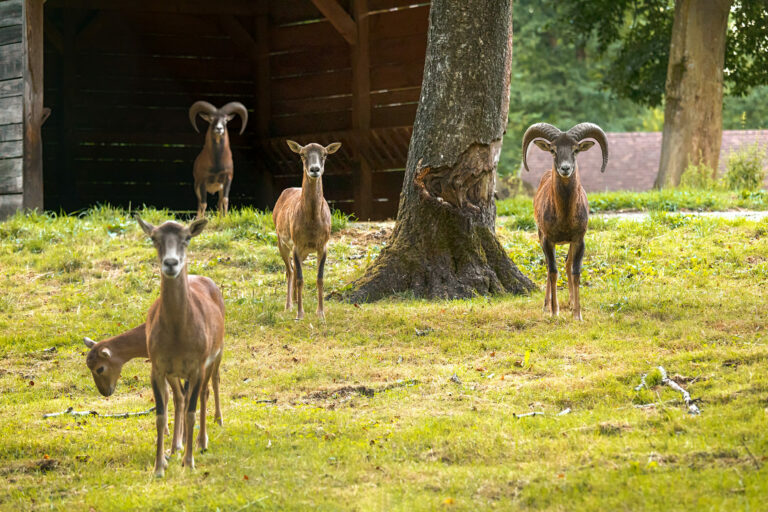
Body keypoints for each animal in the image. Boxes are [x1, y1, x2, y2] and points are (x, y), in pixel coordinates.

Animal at [524, 122, 608, 320]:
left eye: (575, 150)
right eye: (553, 150)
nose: (565, 168)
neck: (564, 215)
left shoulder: (579, 239)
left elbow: (575, 271)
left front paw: (577, 314)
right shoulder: (548, 240)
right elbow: (553, 271)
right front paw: (554, 311)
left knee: (568, 264)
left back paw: (570, 303)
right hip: (541, 237)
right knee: (550, 267)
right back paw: (546, 306)